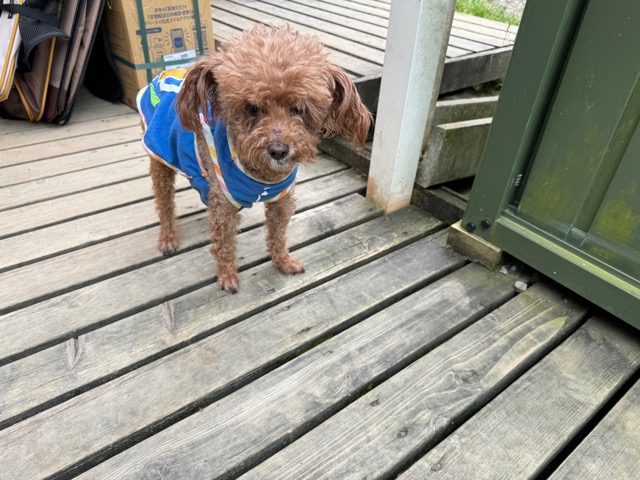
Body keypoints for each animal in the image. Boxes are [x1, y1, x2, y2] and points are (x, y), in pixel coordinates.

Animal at [138, 25, 372, 293]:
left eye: (299, 109)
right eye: (251, 107)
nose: (279, 150)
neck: (262, 176)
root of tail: (164, 74)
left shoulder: (281, 200)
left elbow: (277, 233)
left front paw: (283, 261)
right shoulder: (223, 206)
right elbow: (225, 243)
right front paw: (227, 276)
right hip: (159, 156)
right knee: (164, 201)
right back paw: (168, 238)